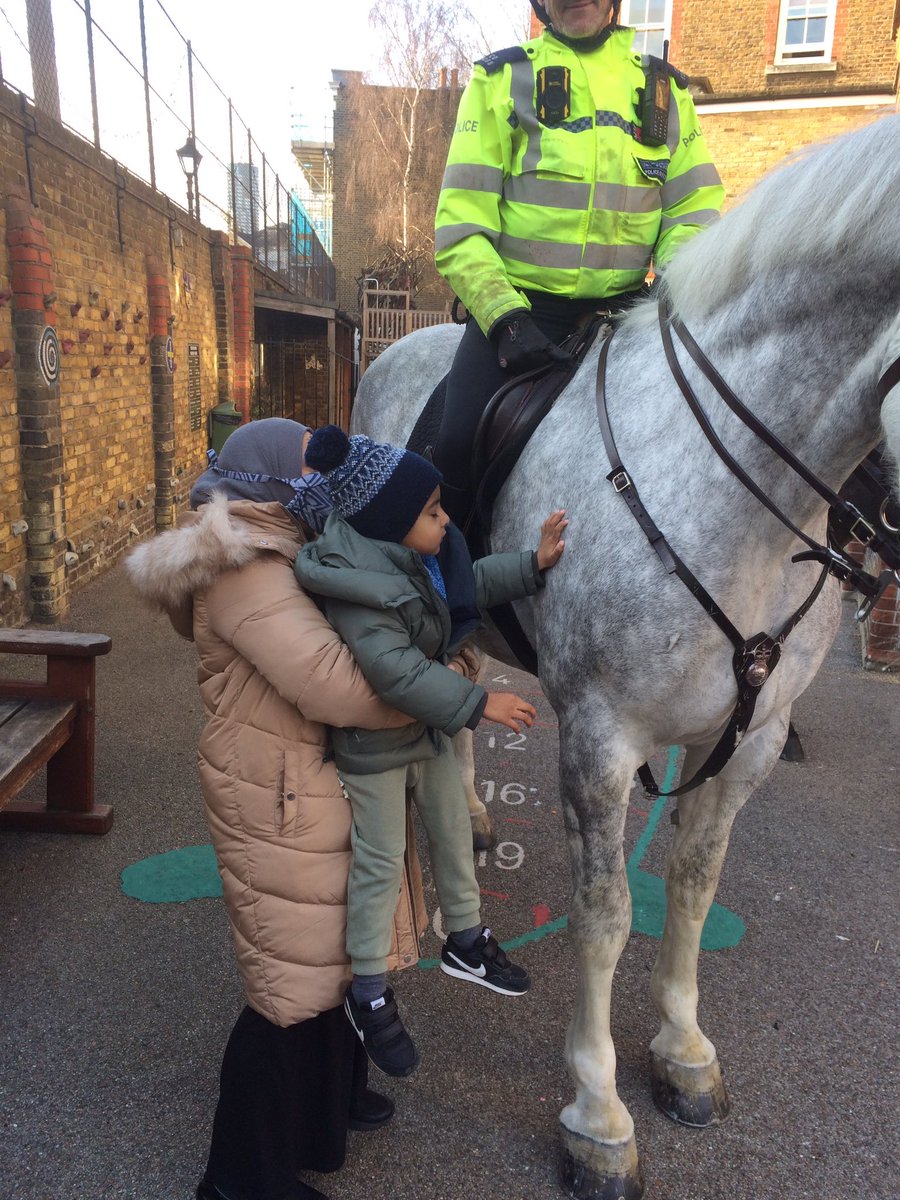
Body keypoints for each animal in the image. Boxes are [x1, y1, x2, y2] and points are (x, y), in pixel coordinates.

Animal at [352, 114, 900, 1198]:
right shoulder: (604, 741)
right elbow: (604, 914)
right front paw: (597, 1116)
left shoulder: (751, 738)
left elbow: (691, 884)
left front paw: (683, 1052)